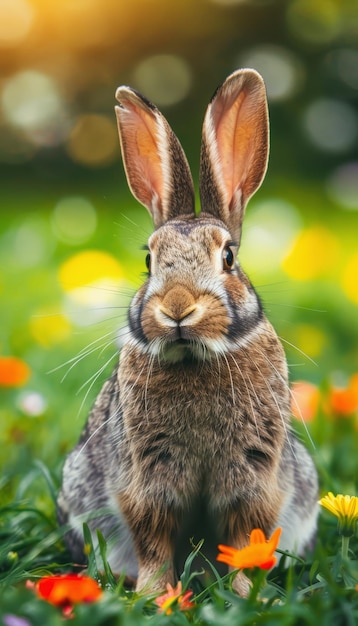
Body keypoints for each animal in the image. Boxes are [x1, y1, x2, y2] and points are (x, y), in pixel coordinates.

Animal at [58, 68, 318, 596]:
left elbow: (245, 537)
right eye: (148, 260)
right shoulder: (148, 476)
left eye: (229, 257)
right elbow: (154, 538)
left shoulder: (252, 475)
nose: (177, 307)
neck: (196, 358)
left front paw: (245, 597)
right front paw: (156, 597)